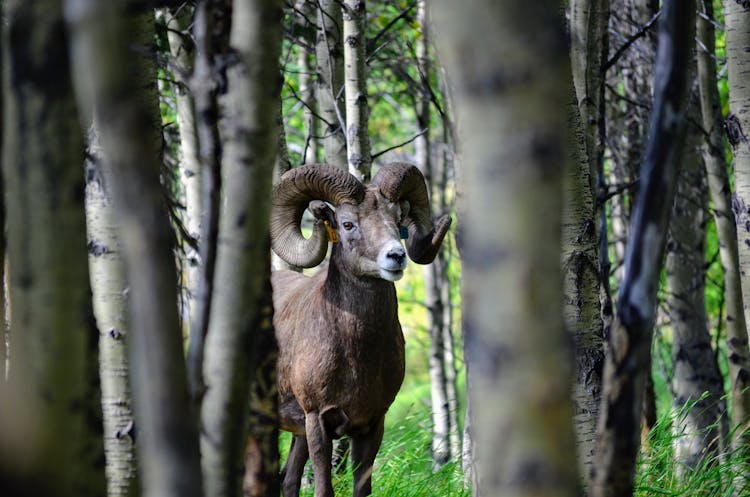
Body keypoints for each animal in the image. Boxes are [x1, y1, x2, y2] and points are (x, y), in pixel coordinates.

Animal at [274, 163, 456, 496]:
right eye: (347, 224)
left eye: (397, 221)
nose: (396, 256)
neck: (357, 357)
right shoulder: (317, 422)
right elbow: (324, 488)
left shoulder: (371, 425)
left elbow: (362, 487)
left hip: (297, 434)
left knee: (288, 480)